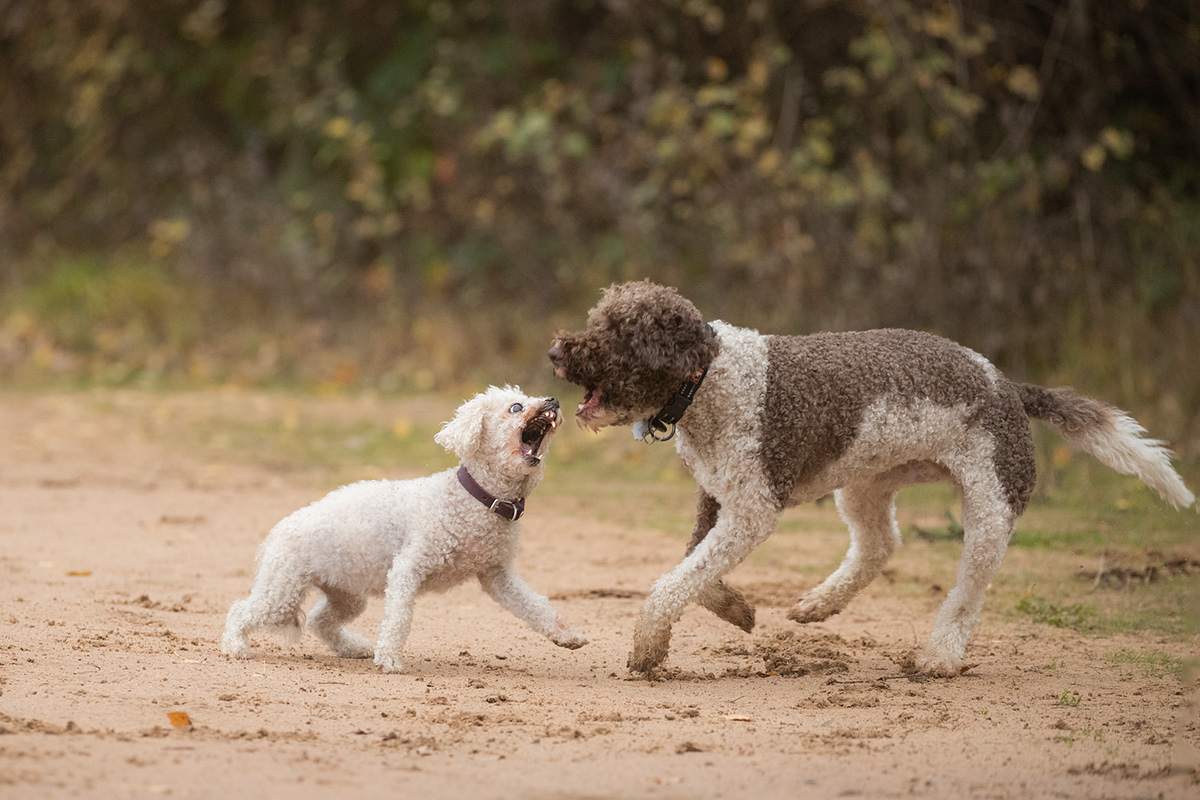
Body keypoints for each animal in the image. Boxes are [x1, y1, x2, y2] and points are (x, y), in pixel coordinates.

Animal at [222, 383, 590, 671]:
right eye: (516, 407)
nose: (554, 400)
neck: (476, 498)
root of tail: (278, 531)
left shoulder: (497, 575)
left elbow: (535, 605)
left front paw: (567, 635)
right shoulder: (407, 569)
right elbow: (399, 617)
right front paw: (390, 659)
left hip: (346, 594)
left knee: (319, 620)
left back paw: (355, 648)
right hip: (282, 592)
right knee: (241, 610)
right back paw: (234, 647)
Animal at [549, 281, 1195, 676]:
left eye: (618, 334)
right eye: (598, 320)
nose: (556, 351)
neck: (707, 380)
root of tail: (1009, 386)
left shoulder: (753, 508)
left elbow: (672, 582)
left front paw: (649, 646)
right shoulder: (717, 498)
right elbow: (694, 573)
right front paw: (738, 611)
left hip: (991, 506)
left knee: (967, 594)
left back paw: (939, 658)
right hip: (863, 484)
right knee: (882, 544)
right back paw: (818, 606)